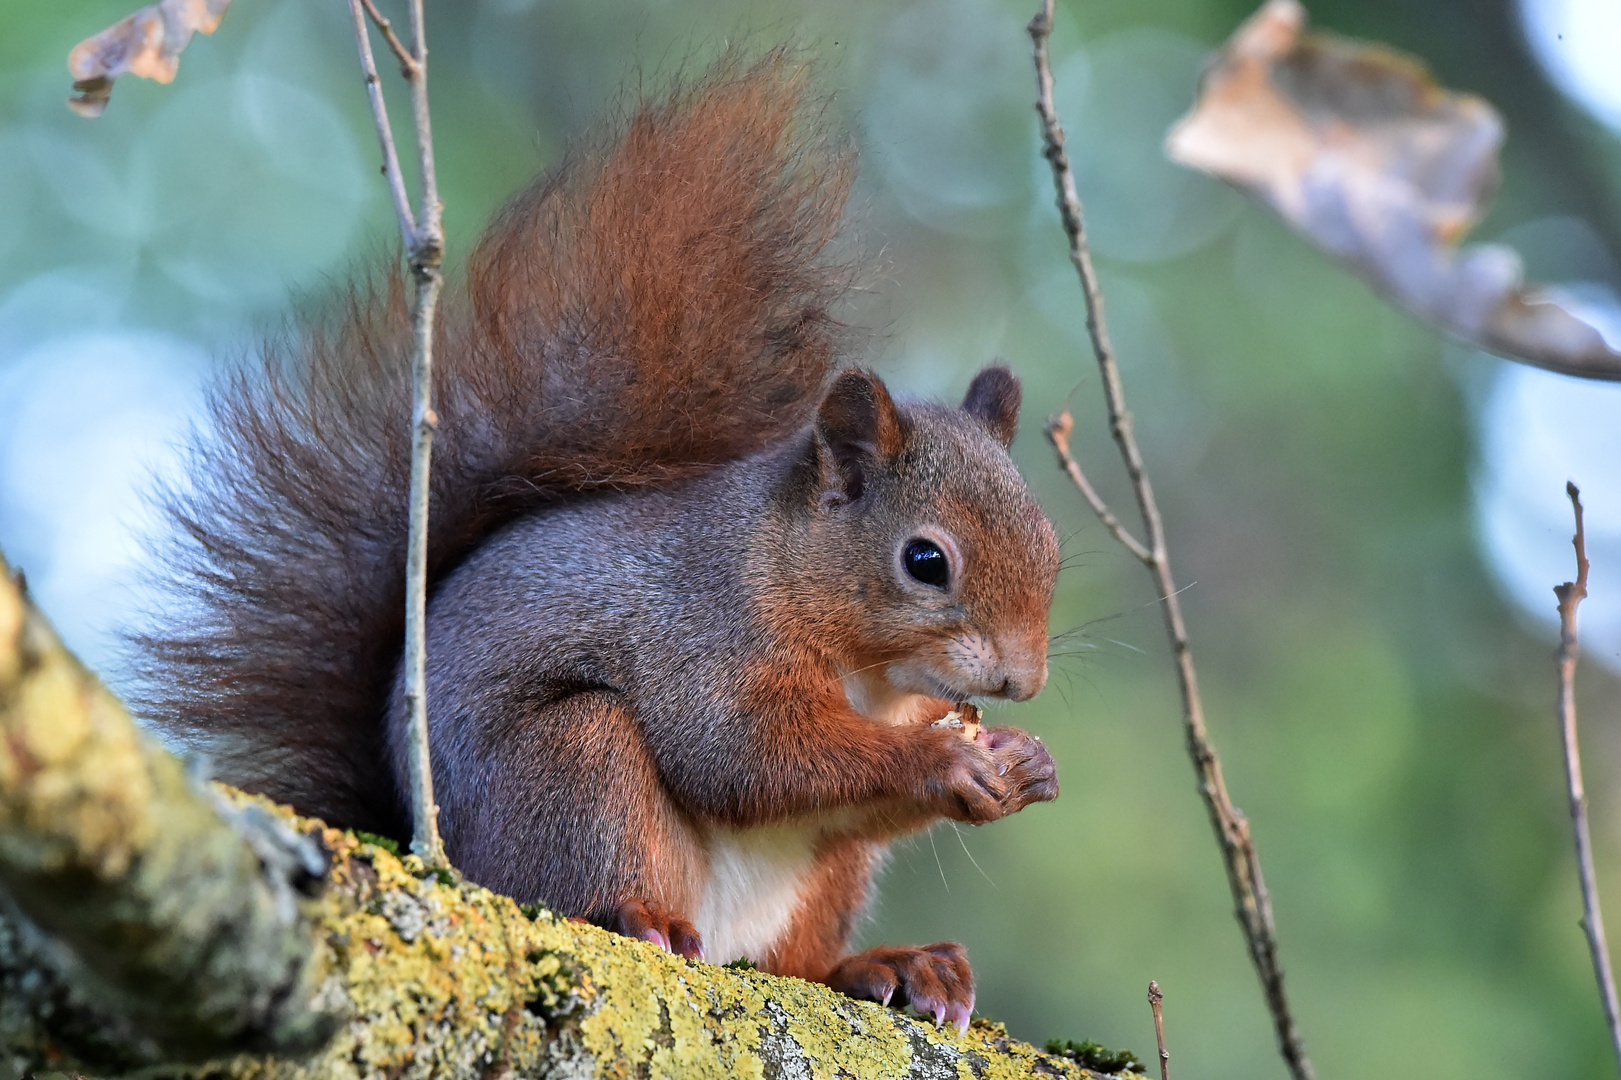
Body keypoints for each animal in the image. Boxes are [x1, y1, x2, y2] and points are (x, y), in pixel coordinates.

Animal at [139, 52, 1063, 1024]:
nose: (1021, 681)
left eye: (1049, 544)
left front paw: (1025, 764)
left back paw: (889, 967)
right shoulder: (706, 638)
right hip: (574, 765)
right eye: (924, 562)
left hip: (826, 878)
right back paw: (635, 914)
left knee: (799, 962)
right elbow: (743, 754)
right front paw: (940, 759)